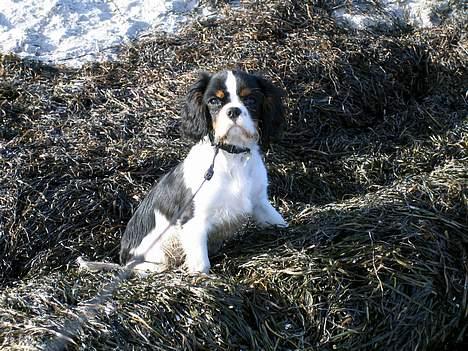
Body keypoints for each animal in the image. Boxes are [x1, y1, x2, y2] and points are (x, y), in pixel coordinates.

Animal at [78, 71, 288, 276]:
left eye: (251, 99)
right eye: (214, 101)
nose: (233, 111)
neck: (232, 156)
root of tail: (123, 259)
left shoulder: (259, 202)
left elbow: (280, 223)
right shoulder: (193, 221)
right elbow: (201, 266)